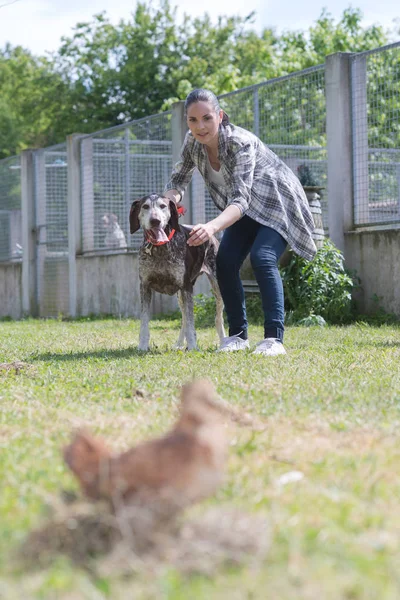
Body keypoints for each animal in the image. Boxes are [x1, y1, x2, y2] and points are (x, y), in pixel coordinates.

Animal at [129, 192, 225, 352]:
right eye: (145, 206)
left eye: (163, 206)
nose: (155, 221)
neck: (160, 248)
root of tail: (211, 236)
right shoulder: (145, 286)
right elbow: (144, 321)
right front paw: (142, 346)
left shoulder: (186, 287)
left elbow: (191, 322)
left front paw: (193, 347)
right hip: (180, 296)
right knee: (184, 319)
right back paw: (179, 343)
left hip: (218, 287)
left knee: (218, 317)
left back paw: (225, 341)